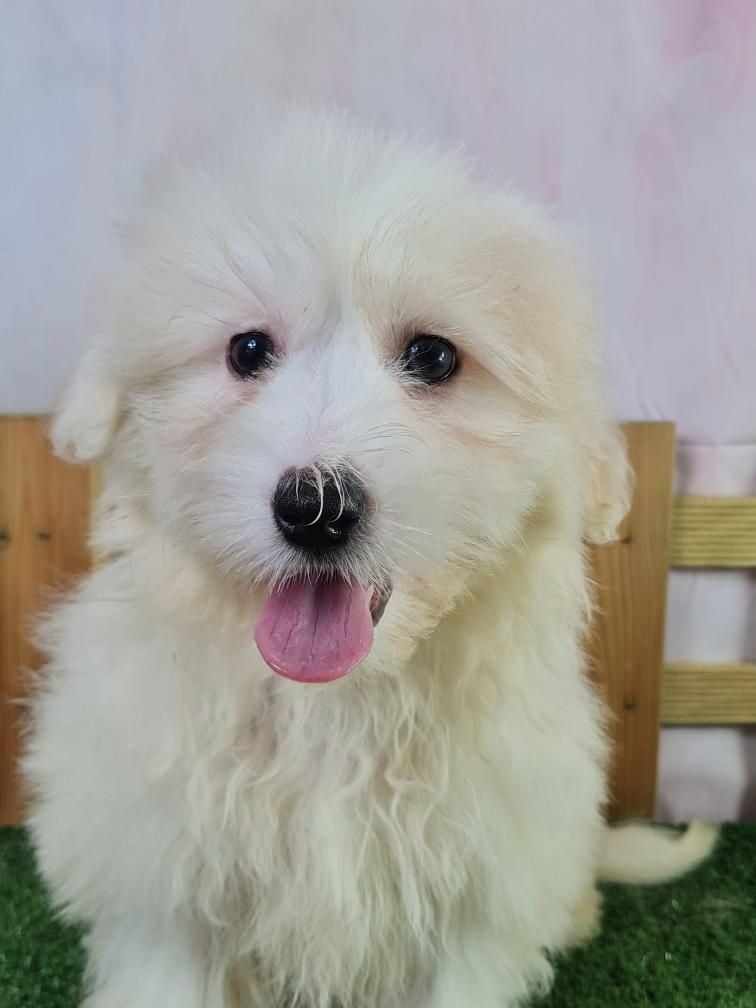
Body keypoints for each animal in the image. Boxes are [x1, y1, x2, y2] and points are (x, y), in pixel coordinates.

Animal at [24, 107, 716, 1008]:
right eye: (247, 352)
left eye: (434, 357)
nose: (314, 509)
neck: (333, 705)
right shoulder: (164, 888)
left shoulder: (478, 895)